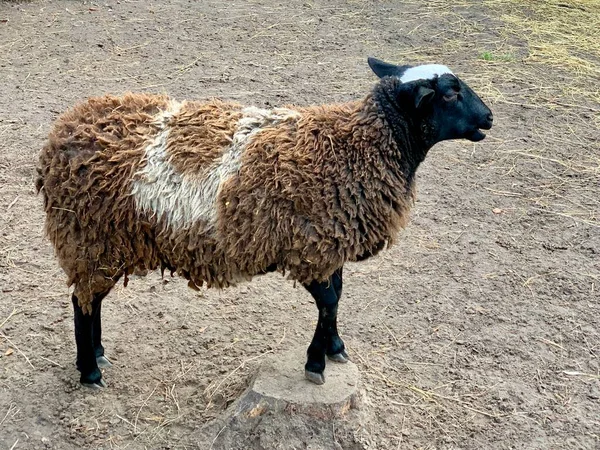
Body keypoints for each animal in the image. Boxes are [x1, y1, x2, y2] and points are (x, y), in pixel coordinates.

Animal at [38, 57, 496, 386]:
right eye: (450, 93)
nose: (489, 117)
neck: (358, 147)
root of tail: (60, 135)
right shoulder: (310, 249)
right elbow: (329, 303)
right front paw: (315, 363)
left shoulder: (329, 245)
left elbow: (337, 298)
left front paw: (334, 347)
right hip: (89, 237)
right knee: (82, 301)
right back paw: (89, 370)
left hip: (102, 244)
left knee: (91, 299)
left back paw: (98, 353)